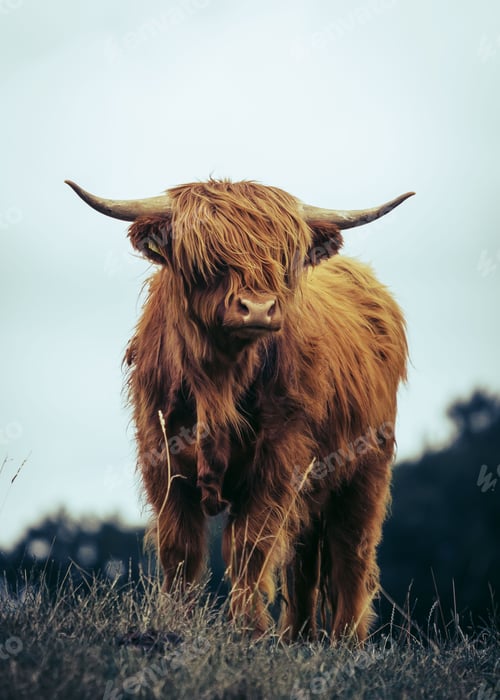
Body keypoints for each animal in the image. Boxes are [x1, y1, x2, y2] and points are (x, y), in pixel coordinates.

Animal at [66, 177, 412, 642]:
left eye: (282, 260)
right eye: (209, 259)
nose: (259, 309)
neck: (218, 383)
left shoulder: (280, 459)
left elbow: (251, 543)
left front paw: (248, 628)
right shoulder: (161, 455)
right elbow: (180, 548)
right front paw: (176, 621)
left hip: (366, 468)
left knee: (351, 552)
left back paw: (345, 641)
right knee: (303, 561)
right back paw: (297, 637)